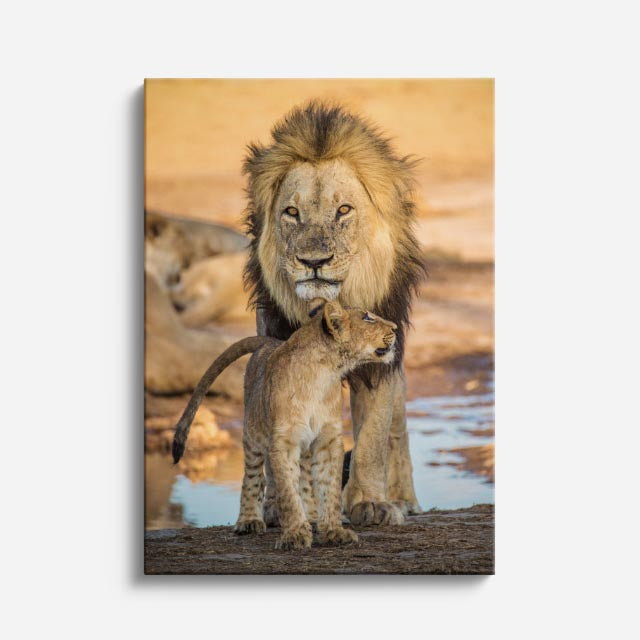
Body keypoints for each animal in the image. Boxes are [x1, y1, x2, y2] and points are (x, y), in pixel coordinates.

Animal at [172, 300, 398, 549]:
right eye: (367, 318)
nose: (396, 328)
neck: (324, 373)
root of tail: (270, 342)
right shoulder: (283, 441)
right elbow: (288, 492)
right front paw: (295, 535)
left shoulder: (328, 440)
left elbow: (328, 488)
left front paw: (333, 531)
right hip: (253, 433)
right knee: (254, 477)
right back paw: (249, 521)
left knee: (305, 481)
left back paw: (312, 517)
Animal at [243, 101, 427, 526]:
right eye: (291, 212)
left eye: (343, 210)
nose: (314, 262)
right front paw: (281, 505)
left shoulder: (381, 359)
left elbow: (373, 436)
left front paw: (371, 503)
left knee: (398, 429)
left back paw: (404, 499)